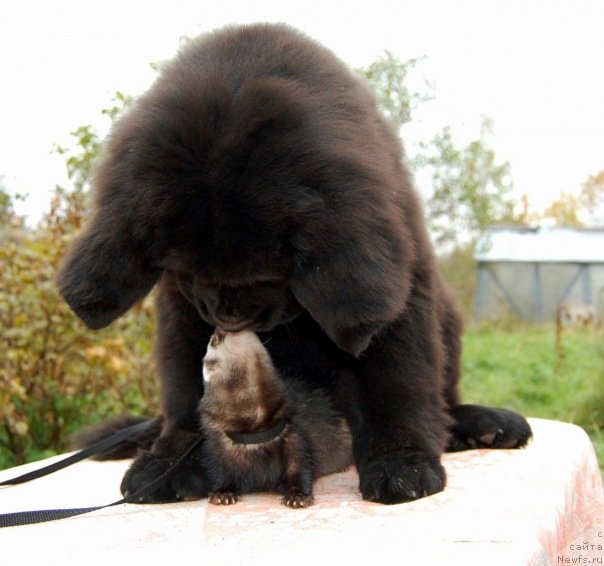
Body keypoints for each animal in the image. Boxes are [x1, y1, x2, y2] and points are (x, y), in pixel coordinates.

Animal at [199, 330, 350, 508]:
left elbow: (300, 472)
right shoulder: (220, 451)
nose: (221, 330)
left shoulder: (296, 441)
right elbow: (222, 474)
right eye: (215, 340)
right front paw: (222, 494)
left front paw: (298, 497)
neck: (256, 435)